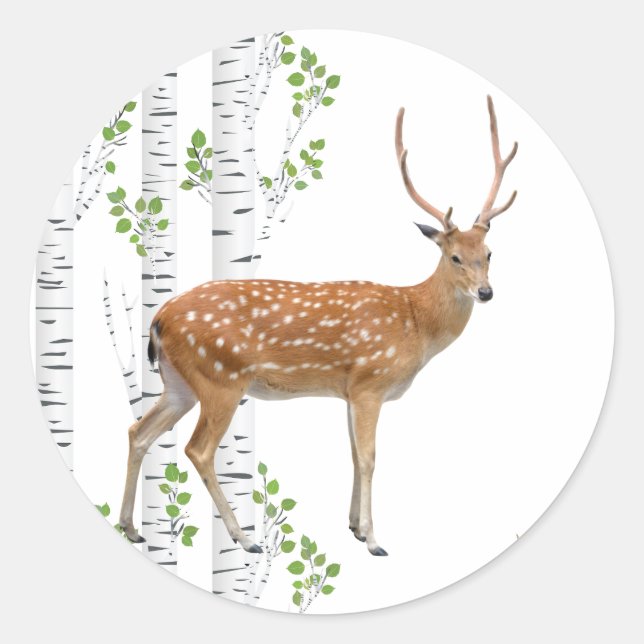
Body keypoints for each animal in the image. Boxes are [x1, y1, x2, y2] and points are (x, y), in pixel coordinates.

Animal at [118, 95, 518, 557]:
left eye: (489, 253)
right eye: (454, 257)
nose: (486, 292)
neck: (415, 321)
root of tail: (158, 318)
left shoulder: (349, 390)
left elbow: (353, 455)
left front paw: (354, 527)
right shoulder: (370, 382)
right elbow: (370, 458)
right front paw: (374, 540)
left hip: (179, 382)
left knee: (138, 431)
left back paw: (131, 527)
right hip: (221, 377)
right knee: (197, 449)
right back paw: (243, 538)